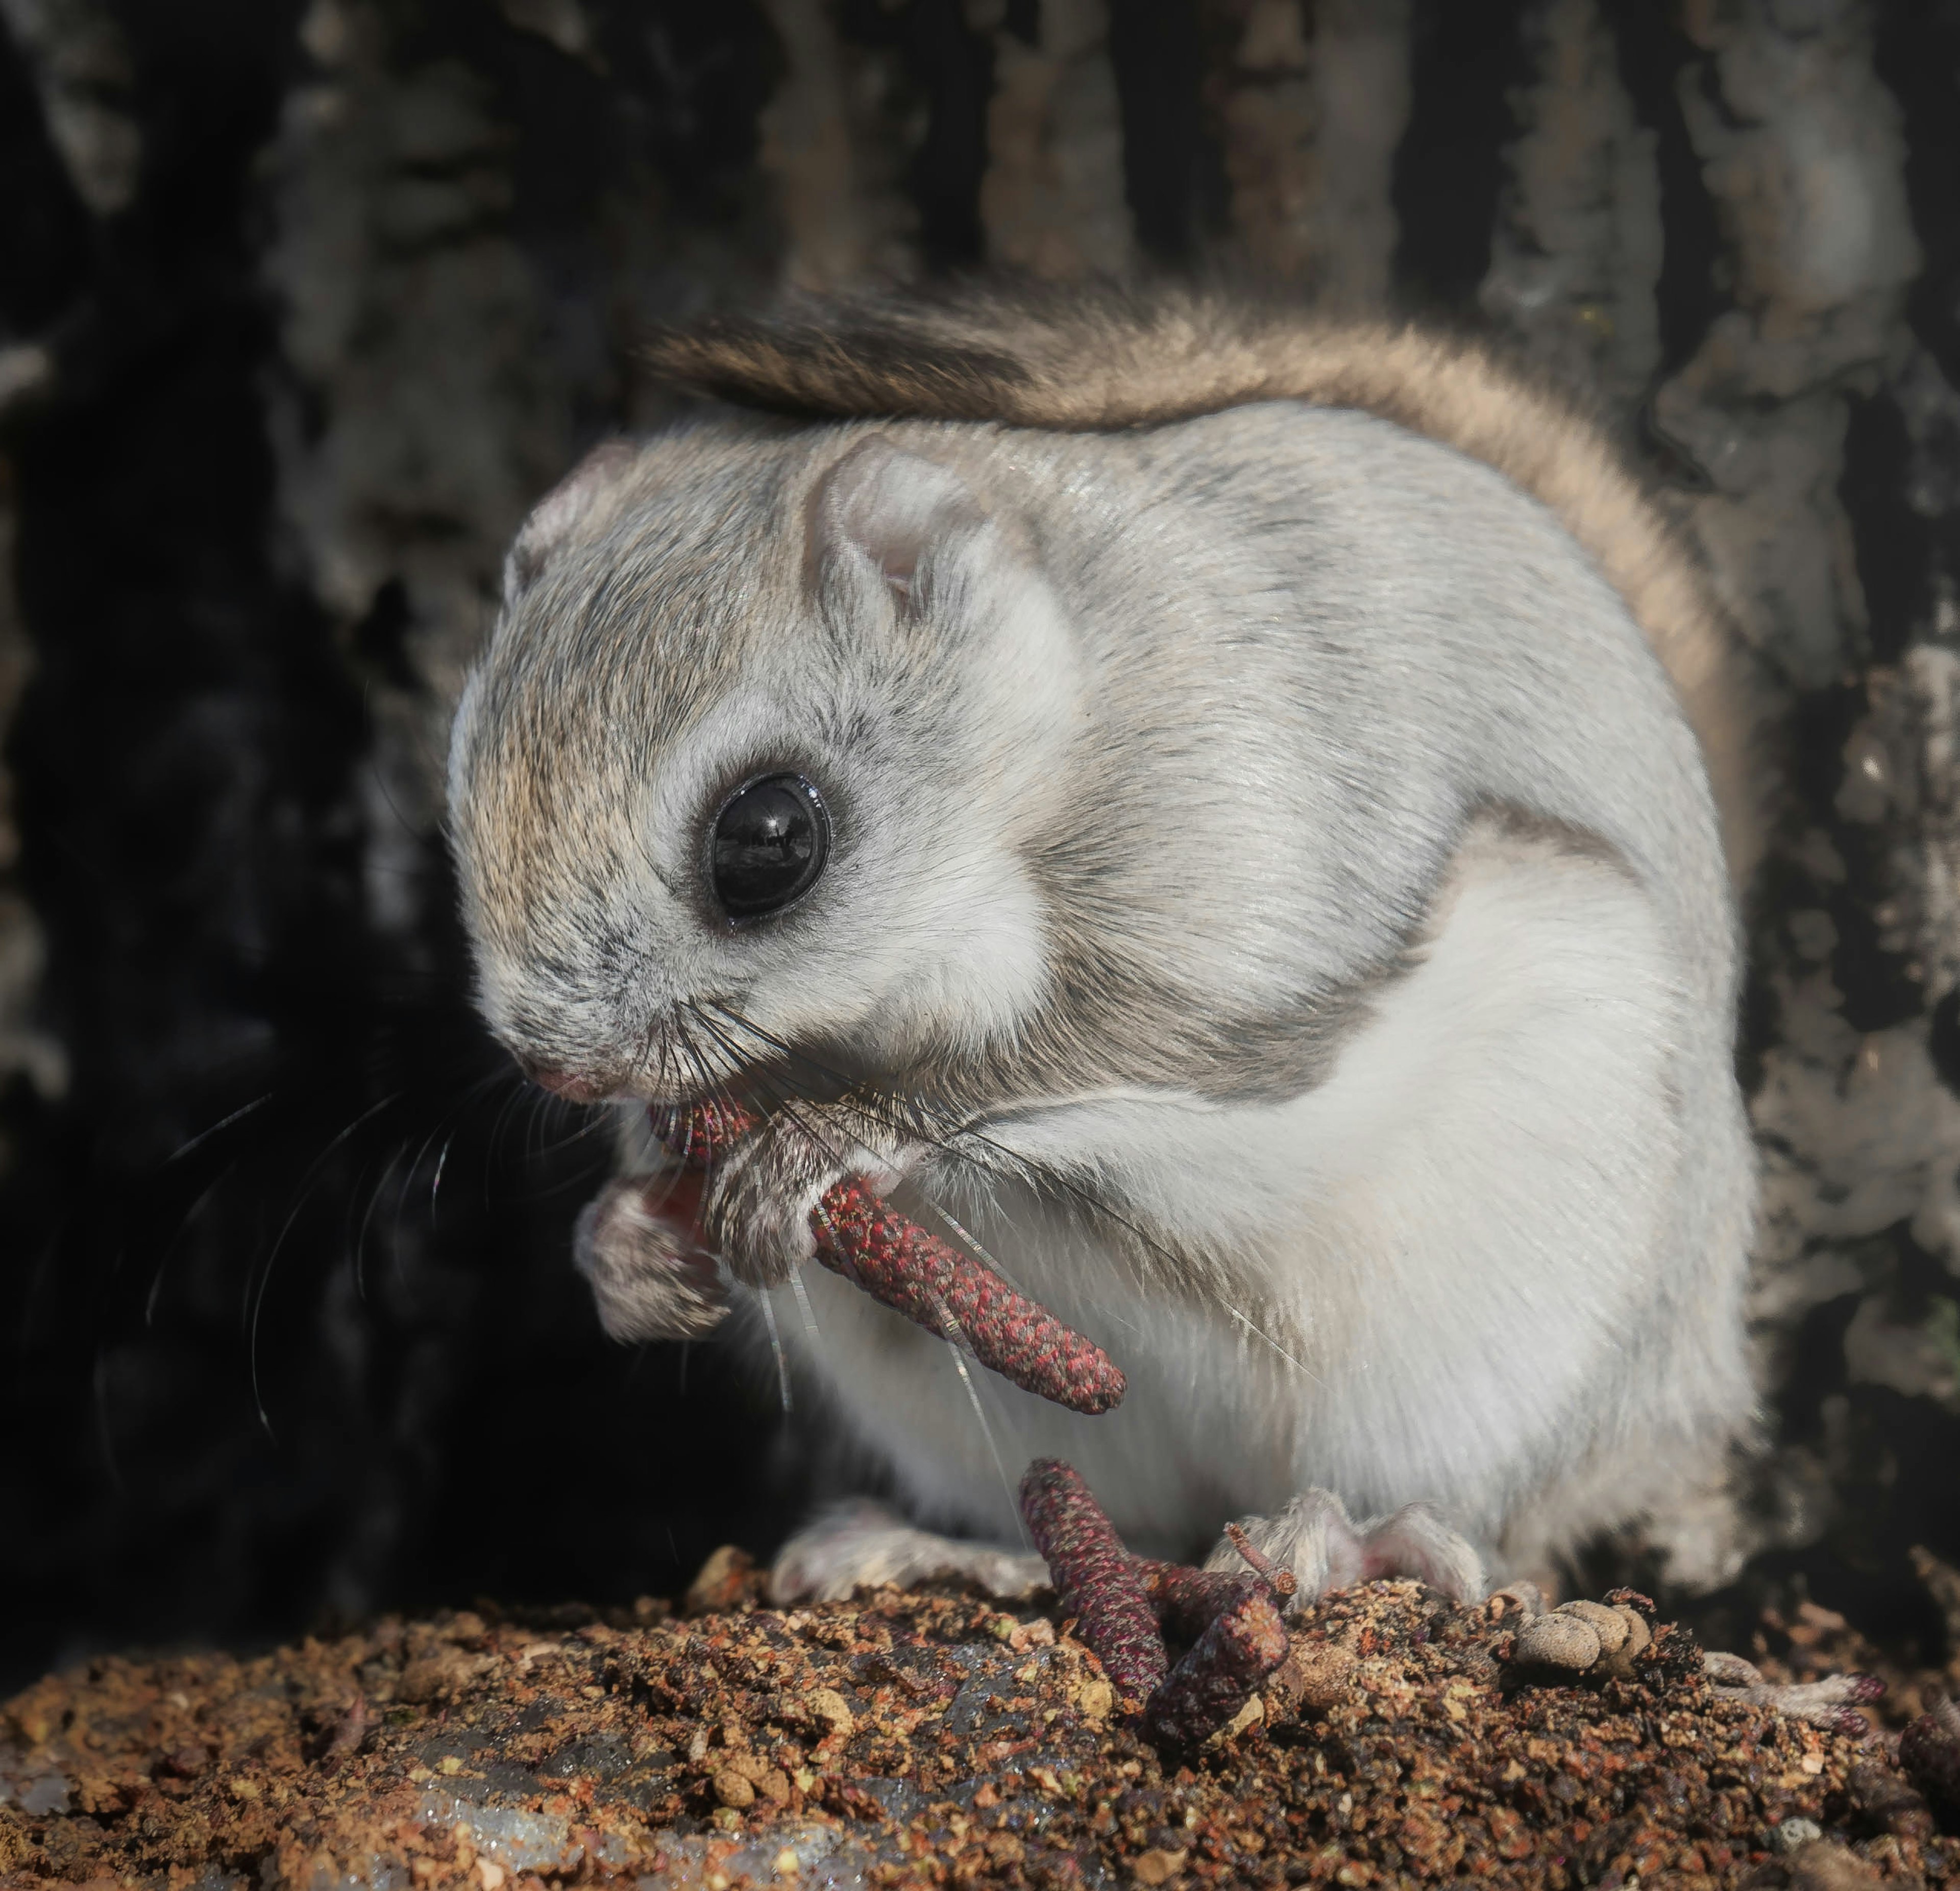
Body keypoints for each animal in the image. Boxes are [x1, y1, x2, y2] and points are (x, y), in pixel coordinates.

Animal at [445, 288, 1764, 1599]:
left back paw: (1350, 1535)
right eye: (457, 791)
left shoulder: (1245, 866)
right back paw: (947, 1548)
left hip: (1501, 1321)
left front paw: (843, 1136)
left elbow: (1110, 1067)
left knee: (1484, 1513)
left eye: (768, 839)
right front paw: (624, 1240)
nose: (562, 1069)